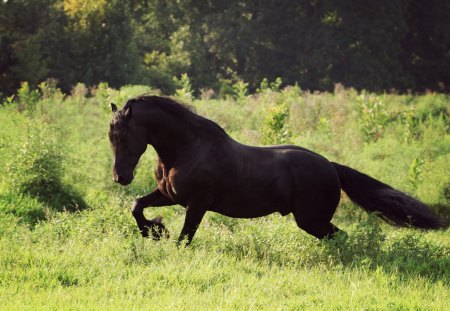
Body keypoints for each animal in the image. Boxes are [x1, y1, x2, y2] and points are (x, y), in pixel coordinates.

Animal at [108, 96, 442, 245]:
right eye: (111, 136)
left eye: (123, 135)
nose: (120, 178)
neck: (186, 150)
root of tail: (331, 167)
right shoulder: (169, 195)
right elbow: (137, 205)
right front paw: (154, 230)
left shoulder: (197, 204)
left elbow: (185, 238)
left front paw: (159, 233)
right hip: (313, 221)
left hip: (311, 219)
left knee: (340, 236)